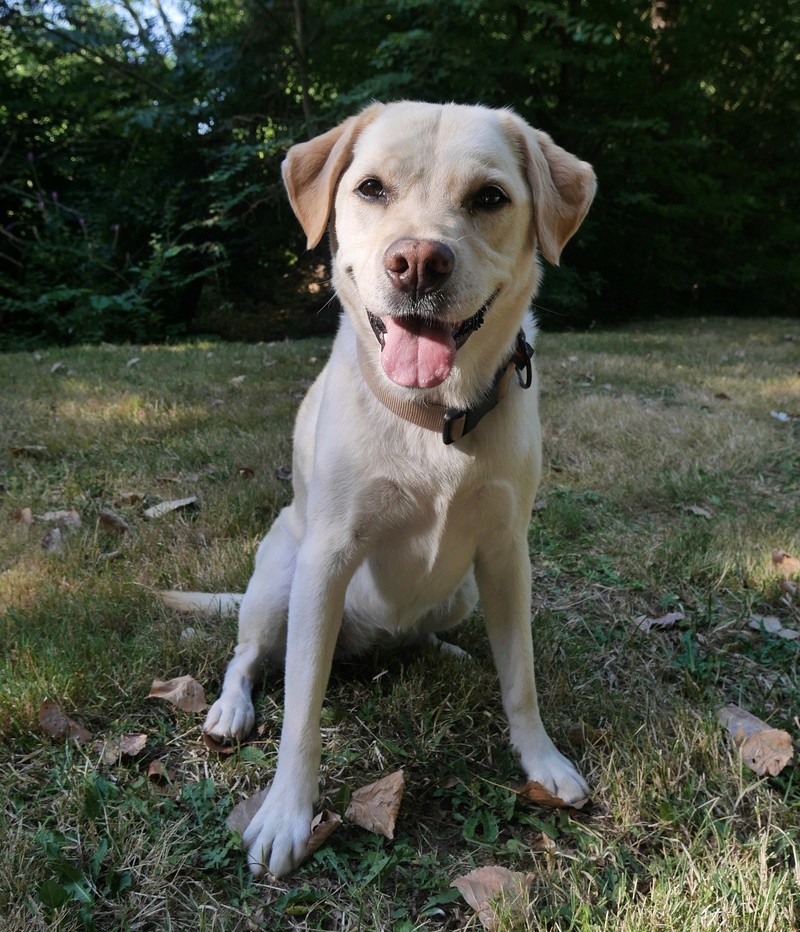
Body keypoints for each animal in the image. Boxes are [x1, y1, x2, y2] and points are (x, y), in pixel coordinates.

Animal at [162, 104, 592, 880]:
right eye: (371, 188)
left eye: (489, 197)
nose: (418, 261)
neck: (436, 419)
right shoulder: (327, 557)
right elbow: (301, 708)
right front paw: (286, 814)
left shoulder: (507, 552)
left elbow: (521, 677)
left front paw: (542, 760)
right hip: (279, 576)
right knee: (248, 656)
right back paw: (231, 709)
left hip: (464, 589)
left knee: (427, 636)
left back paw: (449, 652)